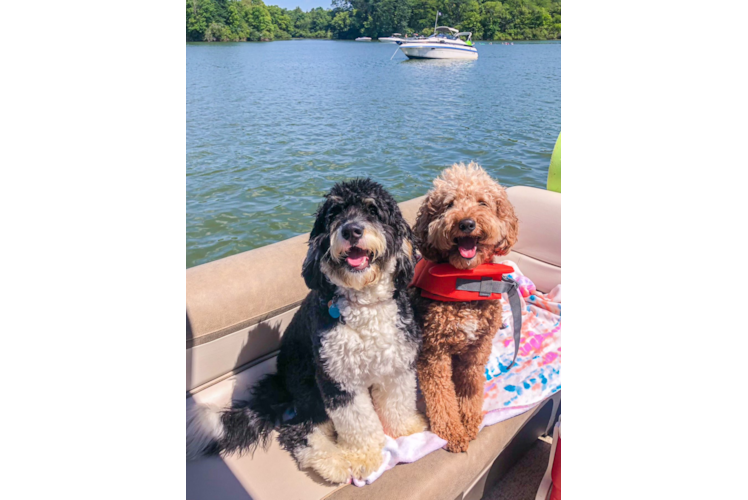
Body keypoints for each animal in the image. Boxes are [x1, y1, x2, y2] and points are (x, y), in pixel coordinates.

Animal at [187, 180, 426, 484]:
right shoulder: (336, 378)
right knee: (298, 429)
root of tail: (280, 383)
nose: (351, 230)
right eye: (335, 213)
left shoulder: (397, 365)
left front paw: (406, 429)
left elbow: (398, 402)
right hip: (307, 384)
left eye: (373, 210)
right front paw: (364, 457)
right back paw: (332, 462)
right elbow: (359, 422)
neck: (364, 302)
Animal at [412, 163, 516, 454]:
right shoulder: (433, 353)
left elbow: (470, 387)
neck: (466, 280)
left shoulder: (477, 349)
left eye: (483, 202)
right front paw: (453, 431)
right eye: (448, 205)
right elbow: (441, 396)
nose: (467, 223)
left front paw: (469, 421)